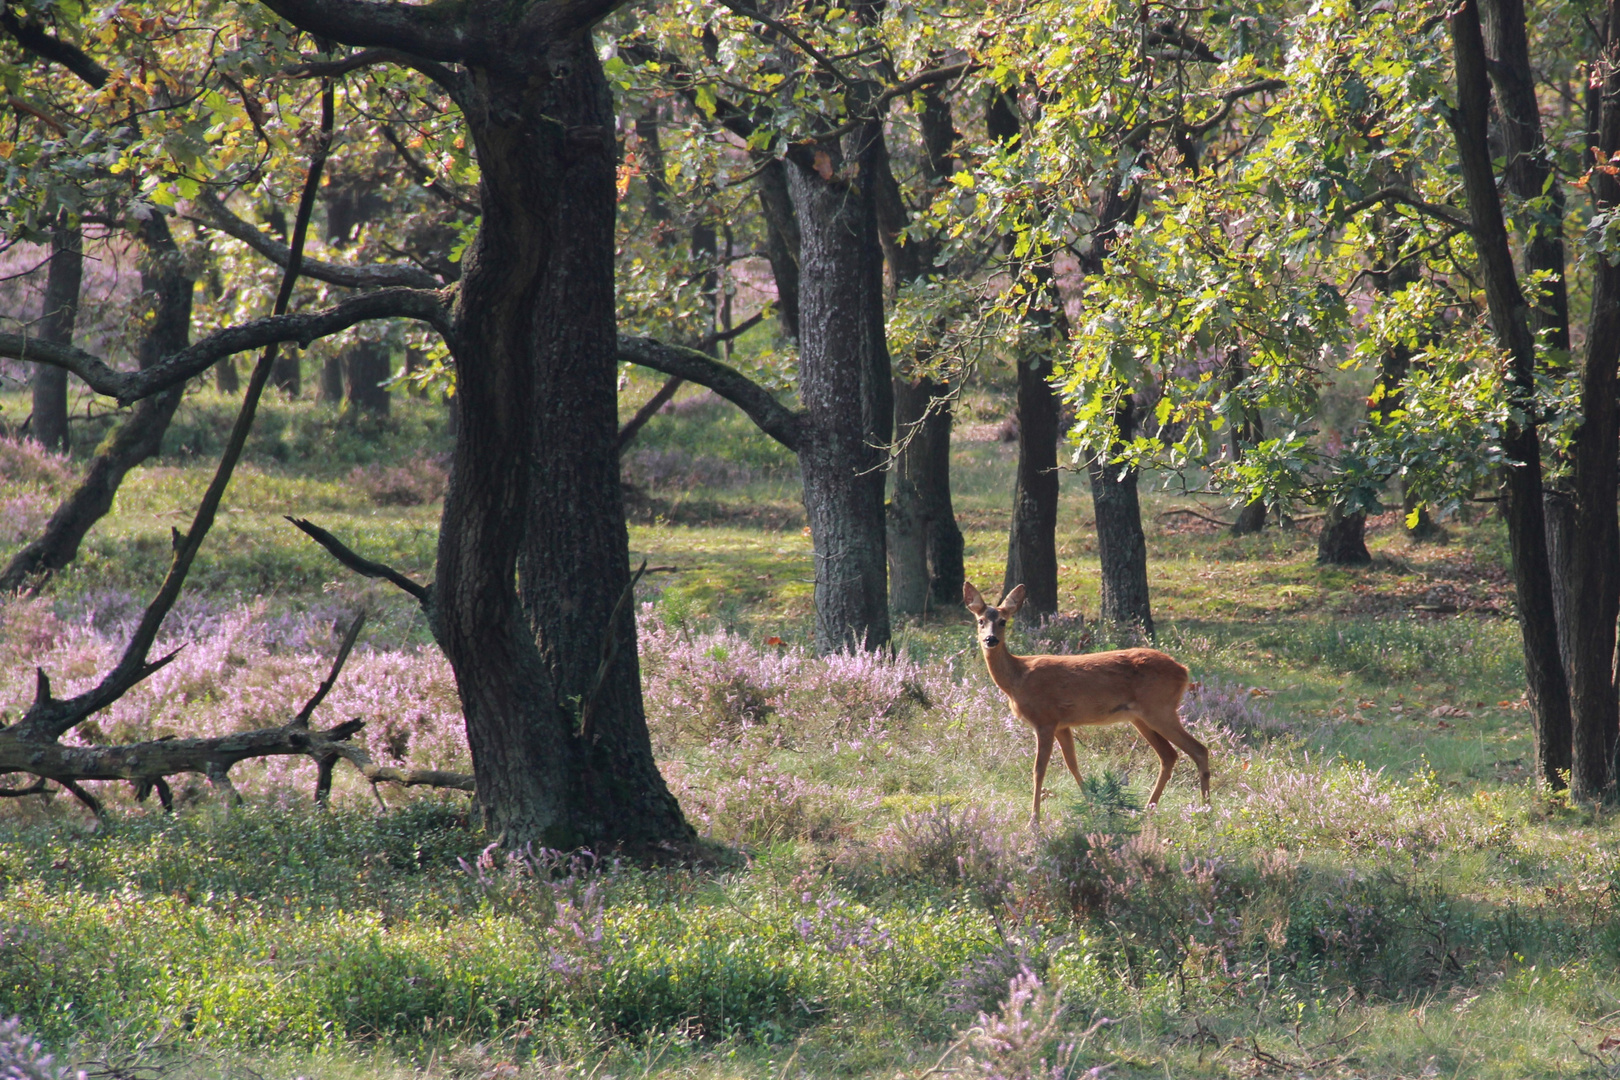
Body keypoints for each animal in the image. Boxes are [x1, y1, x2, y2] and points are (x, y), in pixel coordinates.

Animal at [959, 582, 1205, 829]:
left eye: (1003, 621)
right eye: (981, 620)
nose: (990, 639)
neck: (1017, 679)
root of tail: (1184, 671)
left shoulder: (1045, 720)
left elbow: (1039, 770)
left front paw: (1034, 821)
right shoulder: (1062, 725)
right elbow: (1072, 765)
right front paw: (1093, 808)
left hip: (1160, 709)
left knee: (1198, 750)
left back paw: (1205, 810)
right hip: (1141, 717)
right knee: (1169, 755)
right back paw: (1148, 810)